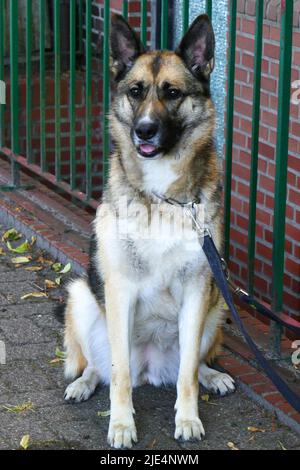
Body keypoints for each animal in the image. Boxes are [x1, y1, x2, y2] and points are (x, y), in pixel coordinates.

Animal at [62, 13, 234, 448]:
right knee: (101, 367)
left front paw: (187, 419)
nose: (144, 130)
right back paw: (83, 383)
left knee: (190, 366)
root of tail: (152, 370)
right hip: (80, 297)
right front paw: (122, 425)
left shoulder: (197, 292)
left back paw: (213, 375)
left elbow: (187, 374)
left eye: (172, 93)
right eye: (135, 92)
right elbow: (119, 375)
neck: (162, 198)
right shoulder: (119, 291)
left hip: (216, 309)